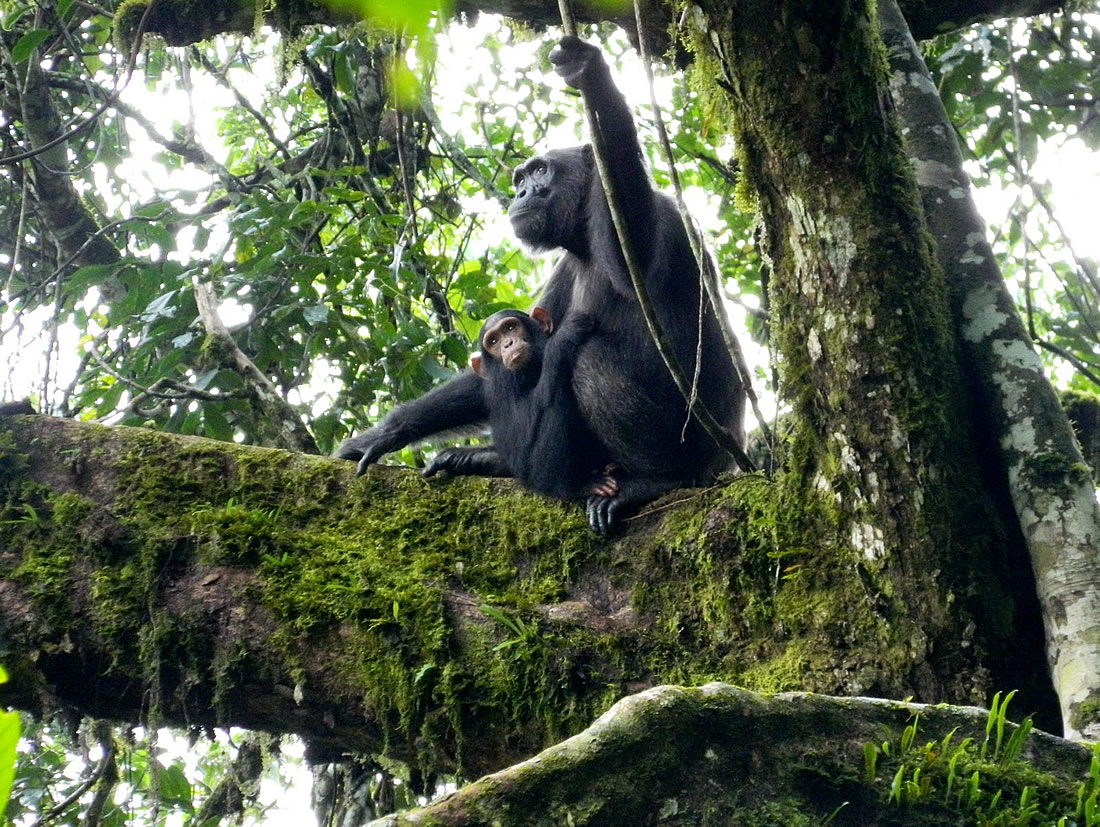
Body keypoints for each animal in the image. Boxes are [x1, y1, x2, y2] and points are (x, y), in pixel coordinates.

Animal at [422, 307, 620, 501]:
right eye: (493, 341)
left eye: (510, 327)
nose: (508, 343)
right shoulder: (502, 395)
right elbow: (522, 446)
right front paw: (564, 335)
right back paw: (576, 486)